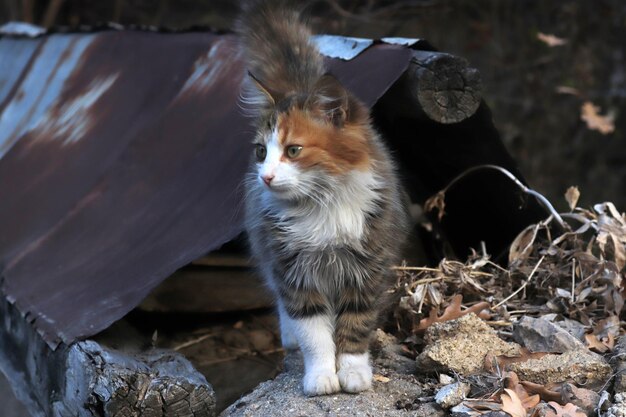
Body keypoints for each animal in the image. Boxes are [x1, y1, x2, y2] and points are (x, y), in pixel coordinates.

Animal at [236, 0, 408, 396]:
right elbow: (314, 332)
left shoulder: (366, 267)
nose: (265, 177)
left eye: (293, 150)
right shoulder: (294, 271)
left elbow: (355, 326)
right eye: (260, 152)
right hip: (266, 249)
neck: (321, 205)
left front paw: (354, 372)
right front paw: (320, 376)